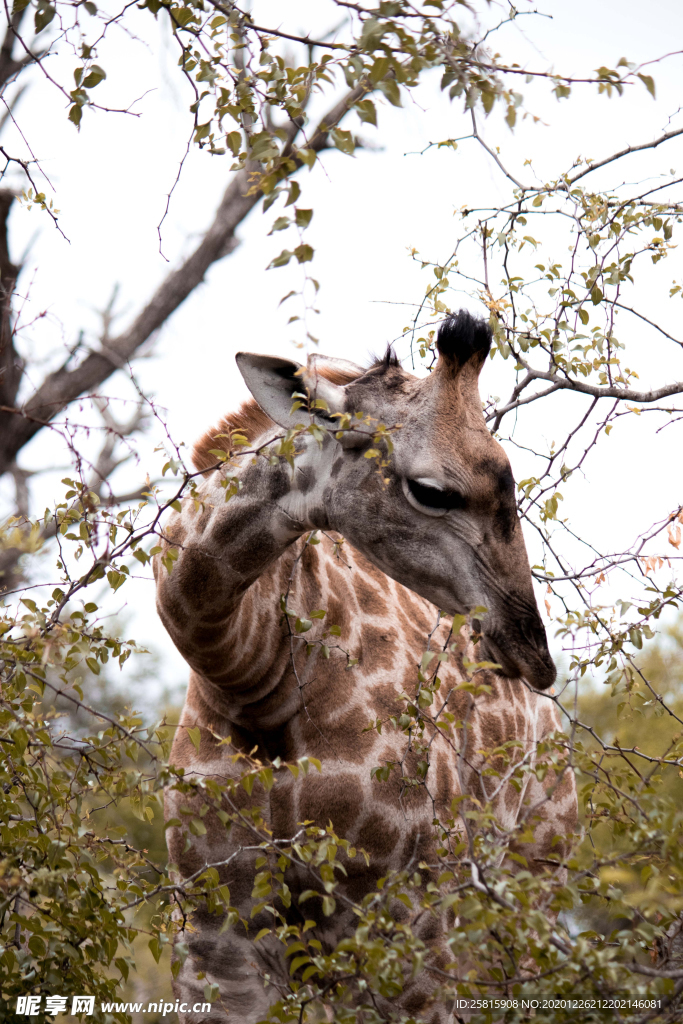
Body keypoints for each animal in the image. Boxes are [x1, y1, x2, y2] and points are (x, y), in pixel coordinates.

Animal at [153, 311, 577, 1024]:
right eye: (431, 491)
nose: (532, 653)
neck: (247, 674)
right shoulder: (217, 937)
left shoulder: (399, 922)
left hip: (531, 879)